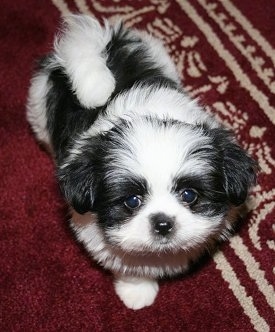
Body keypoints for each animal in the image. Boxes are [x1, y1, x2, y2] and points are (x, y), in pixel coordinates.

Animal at [27, 14, 258, 312]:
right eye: (132, 201)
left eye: (189, 195)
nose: (162, 223)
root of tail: (100, 42)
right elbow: (130, 263)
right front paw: (137, 290)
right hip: (38, 110)